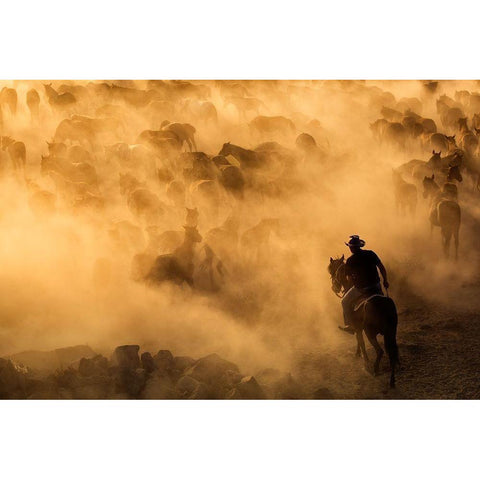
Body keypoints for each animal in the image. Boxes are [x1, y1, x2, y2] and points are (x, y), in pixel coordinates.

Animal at [328, 256, 400, 388]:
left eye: (333, 272)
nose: (334, 288)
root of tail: (383, 304)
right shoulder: (358, 328)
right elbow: (358, 340)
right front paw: (358, 354)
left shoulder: (358, 328)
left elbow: (361, 342)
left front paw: (365, 362)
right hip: (391, 333)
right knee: (392, 353)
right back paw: (392, 381)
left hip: (370, 333)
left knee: (380, 351)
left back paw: (375, 369)